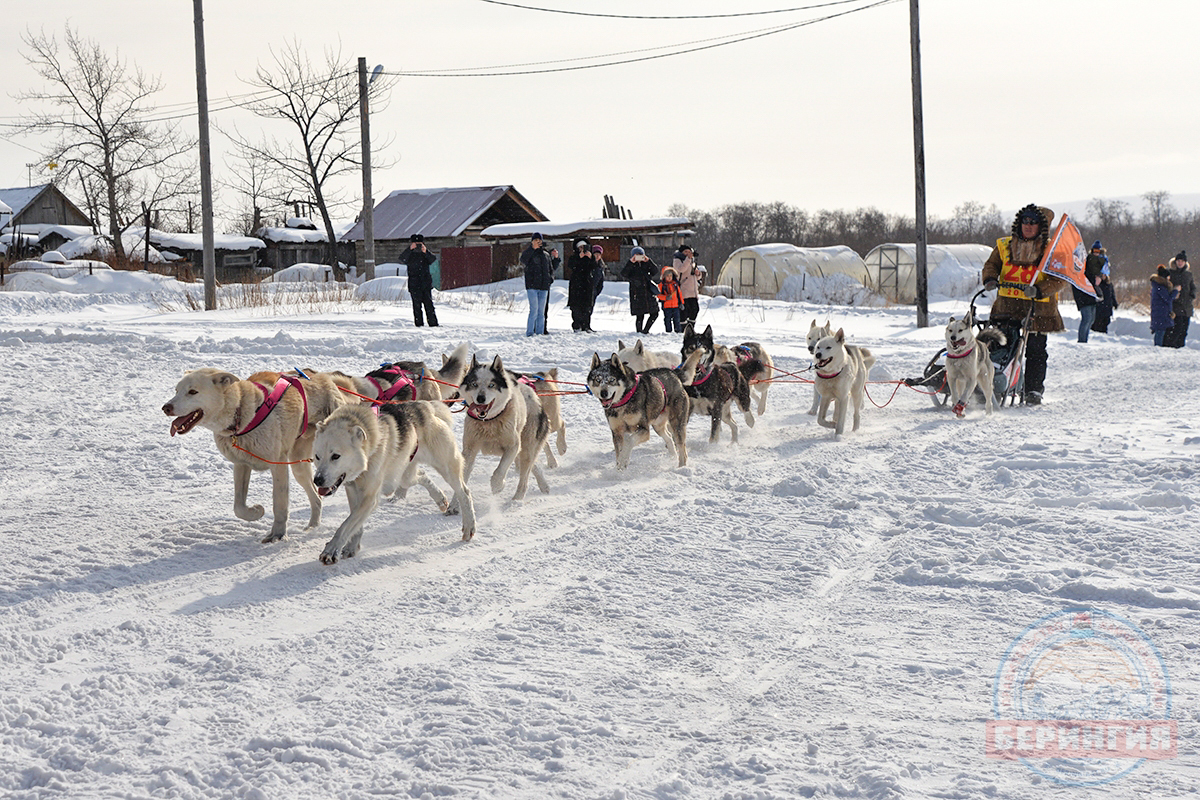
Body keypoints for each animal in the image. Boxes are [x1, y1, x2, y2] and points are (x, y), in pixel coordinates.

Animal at [159, 369, 348, 544]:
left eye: (192, 391)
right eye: (176, 390)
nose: (166, 407)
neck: (242, 414)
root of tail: (323, 377)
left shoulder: (278, 464)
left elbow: (280, 504)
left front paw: (278, 534)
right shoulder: (241, 465)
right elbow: (238, 507)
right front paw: (256, 512)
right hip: (299, 467)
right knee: (316, 498)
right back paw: (312, 527)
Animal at [312, 400, 475, 563]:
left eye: (335, 456)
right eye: (317, 456)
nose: (317, 480)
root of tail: (425, 406)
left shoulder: (369, 498)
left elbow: (346, 525)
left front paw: (331, 549)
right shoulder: (352, 490)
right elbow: (354, 524)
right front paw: (352, 546)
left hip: (446, 469)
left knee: (464, 492)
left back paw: (469, 526)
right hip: (403, 478)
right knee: (421, 475)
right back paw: (440, 499)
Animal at [458, 355, 552, 501]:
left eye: (492, 385)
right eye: (474, 384)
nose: (481, 398)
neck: (490, 421)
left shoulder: (513, 446)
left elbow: (500, 470)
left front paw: (497, 485)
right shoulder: (469, 450)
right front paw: (455, 503)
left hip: (526, 447)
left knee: (524, 477)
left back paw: (516, 500)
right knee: (534, 466)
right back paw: (543, 485)